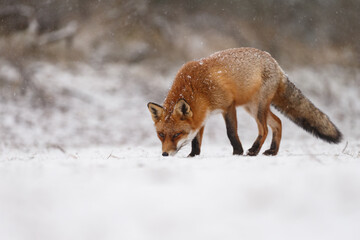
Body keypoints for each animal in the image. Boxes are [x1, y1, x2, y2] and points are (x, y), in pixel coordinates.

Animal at [146, 47, 340, 157]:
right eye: (161, 135)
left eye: (177, 134)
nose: (165, 154)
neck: (196, 85)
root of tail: (276, 64)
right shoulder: (202, 115)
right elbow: (196, 139)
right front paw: (193, 155)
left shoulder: (228, 106)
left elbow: (231, 133)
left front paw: (237, 152)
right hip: (252, 107)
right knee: (278, 123)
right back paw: (272, 151)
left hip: (258, 108)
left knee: (264, 129)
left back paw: (254, 150)